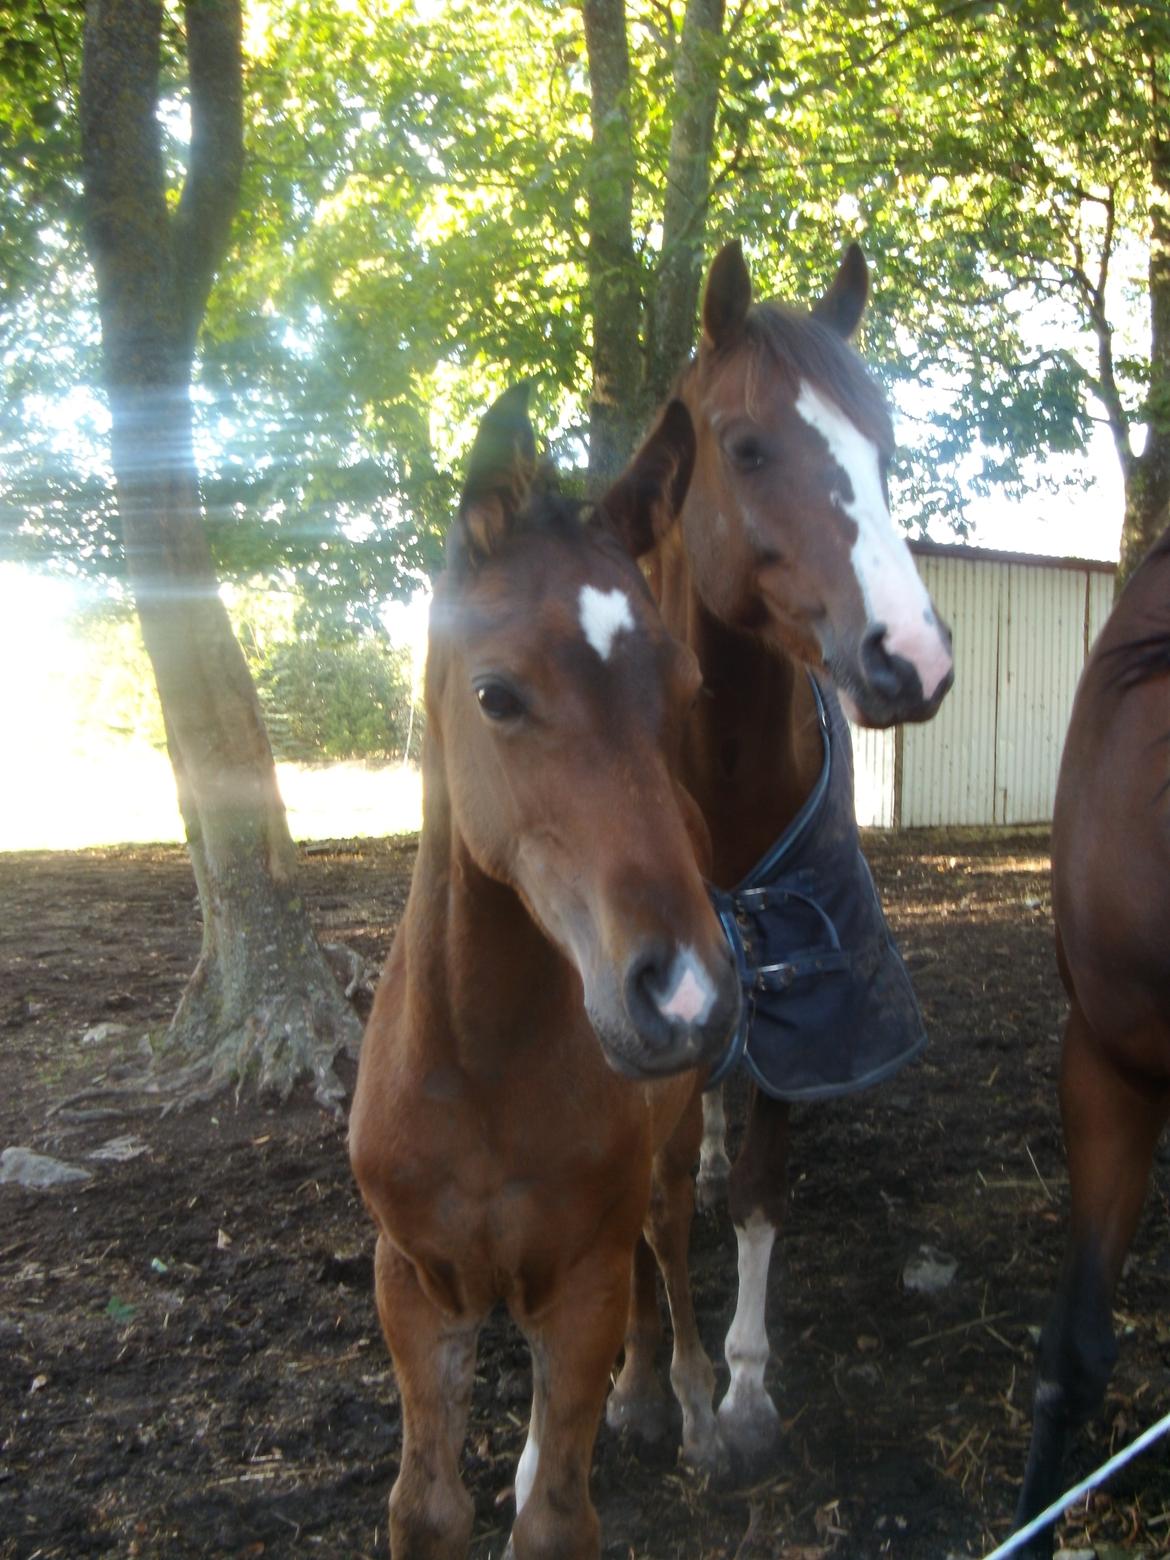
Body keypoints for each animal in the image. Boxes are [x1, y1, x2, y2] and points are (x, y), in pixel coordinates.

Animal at [351, 386, 742, 1560]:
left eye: (687, 686)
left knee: (669, 1246)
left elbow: (558, 1516)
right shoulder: (412, 1283)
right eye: (496, 694)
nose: (685, 991)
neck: (478, 1068)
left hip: (668, 1153)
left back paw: (694, 1408)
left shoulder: (579, 1285)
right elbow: (425, 1508)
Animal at [614, 237, 954, 1466]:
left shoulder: (808, 986)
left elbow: (763, 1185)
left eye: (886, 448)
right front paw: (640, 1386)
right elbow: (646, 1206)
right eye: (749, 445)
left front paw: (745, 1389)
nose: (912, 659)